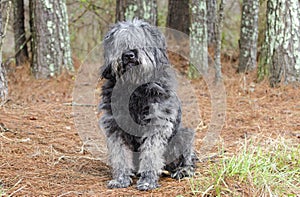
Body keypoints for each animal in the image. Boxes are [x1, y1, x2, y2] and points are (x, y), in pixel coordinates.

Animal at [99, 19, 196, 190]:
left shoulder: (156, 124)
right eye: (121, 43)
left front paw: (147, 180)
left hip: (183, 135)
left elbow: (151, 154)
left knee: (187, 159)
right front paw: (121, 179)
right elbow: (120, 155)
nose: (129, 55)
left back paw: (183, 171)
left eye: (140, 41)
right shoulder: (114, 127)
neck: (134, 88)